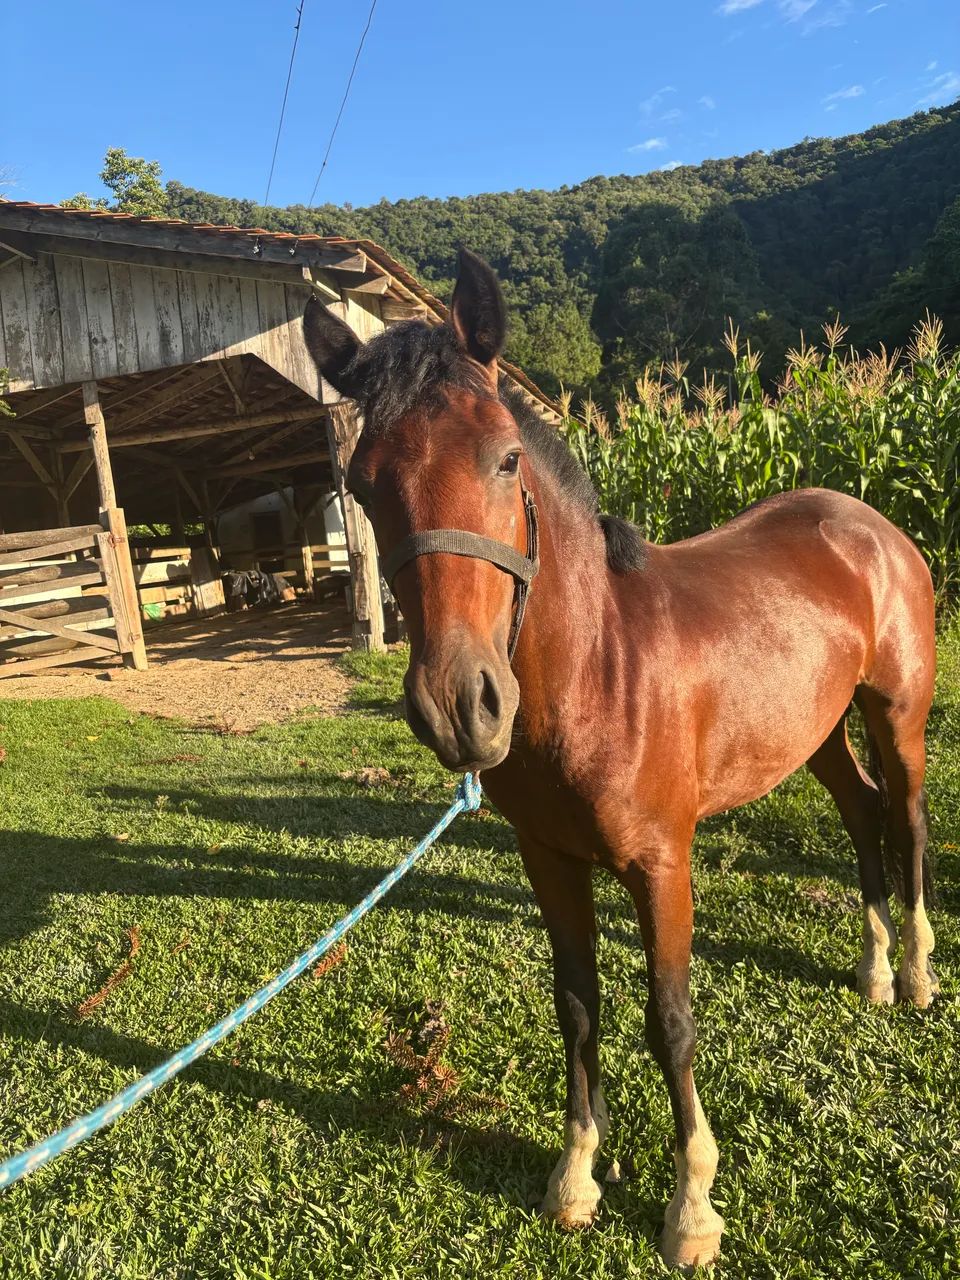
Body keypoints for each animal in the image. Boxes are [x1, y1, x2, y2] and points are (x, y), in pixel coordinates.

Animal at [302, 251, 938, 1270]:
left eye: (506, 458)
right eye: (361, 485)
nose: (460, 705)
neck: (601, 673)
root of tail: (864, 523)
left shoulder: (661, 865)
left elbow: (669, 1020)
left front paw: (692, 1210)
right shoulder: (551, 862)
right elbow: (578, 1006)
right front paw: (574, 1179)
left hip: (896, 714)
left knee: (907, 815)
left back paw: (916, 974)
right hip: (817, 733)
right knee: (861, 812)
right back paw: (875, 971)